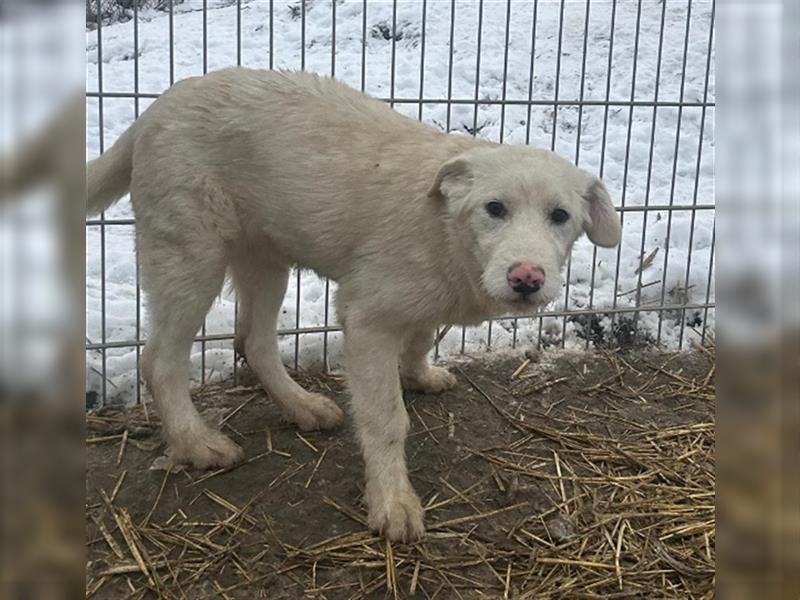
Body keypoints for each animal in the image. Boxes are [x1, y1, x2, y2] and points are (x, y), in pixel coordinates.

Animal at [89, 68, 624, 540]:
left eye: (560, 216)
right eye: (494, 208)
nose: (527, 279)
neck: (448, 232)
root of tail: (155, 108)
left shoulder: (420, 305)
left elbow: (421, 337)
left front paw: (420, 375)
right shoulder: (368, 319)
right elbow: (387, 419)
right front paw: (393, 503)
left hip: (266, 260)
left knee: (254, 341)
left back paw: (301, 406)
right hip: (190, 257)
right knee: (160, 359)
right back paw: (196, 443)